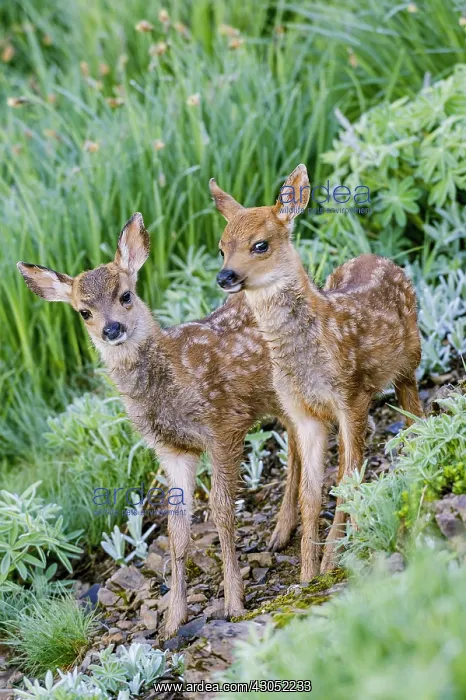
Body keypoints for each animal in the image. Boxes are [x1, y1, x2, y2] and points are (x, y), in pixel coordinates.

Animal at [17, 213, 305, 638]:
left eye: (126, 295)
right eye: (83, 312)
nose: (112, 330)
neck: (172, 385)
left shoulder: (223, 425)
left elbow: (222, 513)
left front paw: (234, 605)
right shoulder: (172, 450)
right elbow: (176, 529)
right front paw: (172, 621)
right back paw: (282, 532)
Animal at [211, 164, 424, 578]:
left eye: (260, 245)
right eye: (222, 247)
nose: (225, 277)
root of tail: (377, 256)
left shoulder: (351, 396)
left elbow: (347, 479)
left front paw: (337, 559)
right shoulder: (304, 414)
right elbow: (311, 495)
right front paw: (308, 574)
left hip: (410, 360)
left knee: (414, 414)